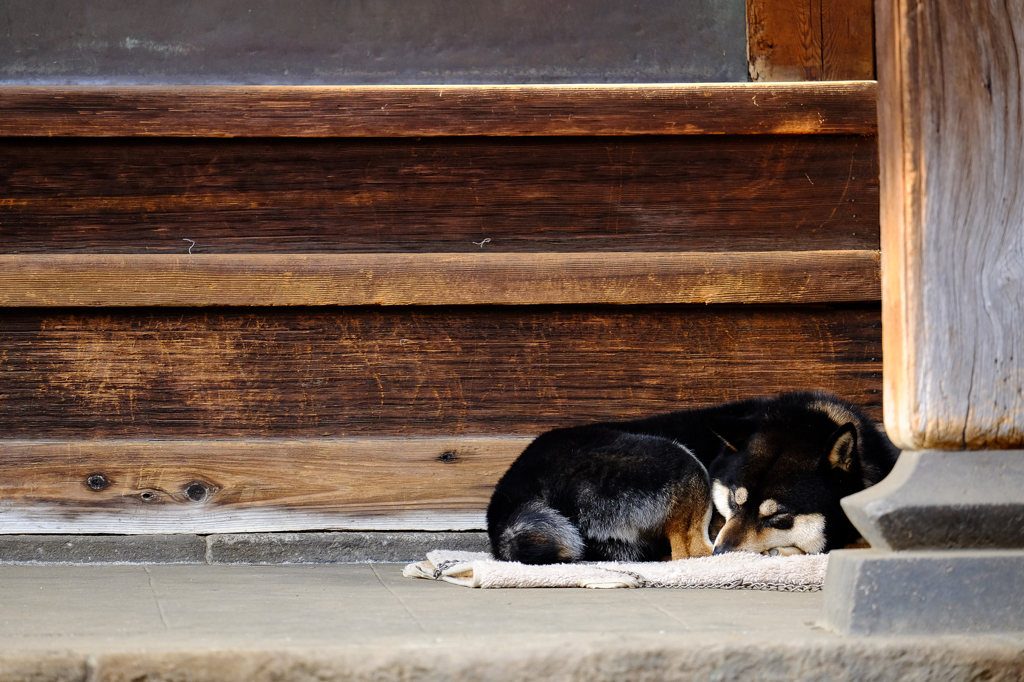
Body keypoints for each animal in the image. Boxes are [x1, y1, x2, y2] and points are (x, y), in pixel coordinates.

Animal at [485, 391, 897, 561]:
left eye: (777, 515)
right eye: (734, 502)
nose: (724, 553)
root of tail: (509, 493)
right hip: (679, 460)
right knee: (687, 553)